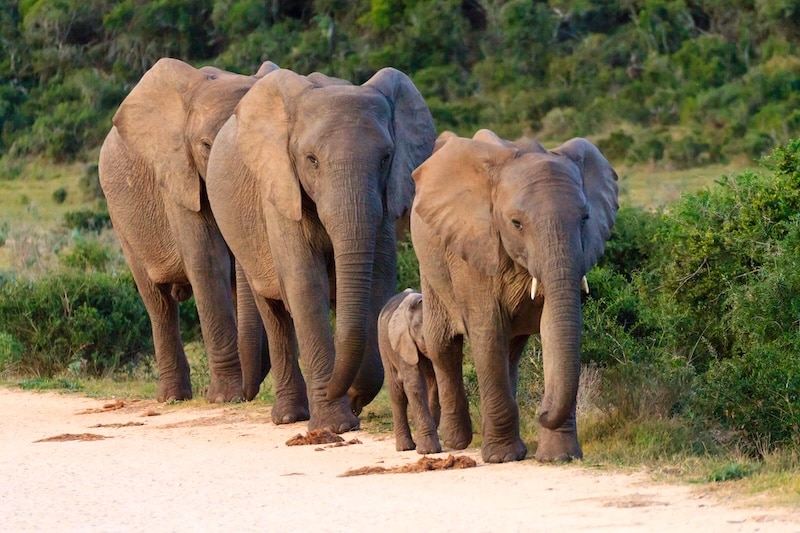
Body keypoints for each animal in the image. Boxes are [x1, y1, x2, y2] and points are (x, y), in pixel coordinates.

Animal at [98, 57, 277, 403]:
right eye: (206, 146)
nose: (247, 395)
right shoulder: (177, 175)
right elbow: (206, 260)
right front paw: (223, 398)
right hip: (120, 218)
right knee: (158, 302)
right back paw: (172, 397)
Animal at [205, 67, 436, 432]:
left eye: (386, 158)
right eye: (311, 160)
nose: (337, 392)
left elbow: (378, 279)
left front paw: (351, 399)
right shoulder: (280, 192)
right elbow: (305, 284)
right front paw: (333, 427)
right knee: (274, 312)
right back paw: (289, 417)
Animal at [378, 289, 441, 454]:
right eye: (424, 337)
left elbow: (434, 385)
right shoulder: (404, 342)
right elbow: (415, 384)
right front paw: (428, 451)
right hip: (384, 345)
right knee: (397, 392)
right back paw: (404, 448)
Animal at [410, 129, 618, 463]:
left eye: (585, 219)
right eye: (516, 223)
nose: (542, 410)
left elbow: (551, 328)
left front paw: (559, 457)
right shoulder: (474, 246)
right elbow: (488, 330)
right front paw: (502, 458)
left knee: (511, 349)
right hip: (430, 265)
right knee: (443, 345)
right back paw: (456, 443)